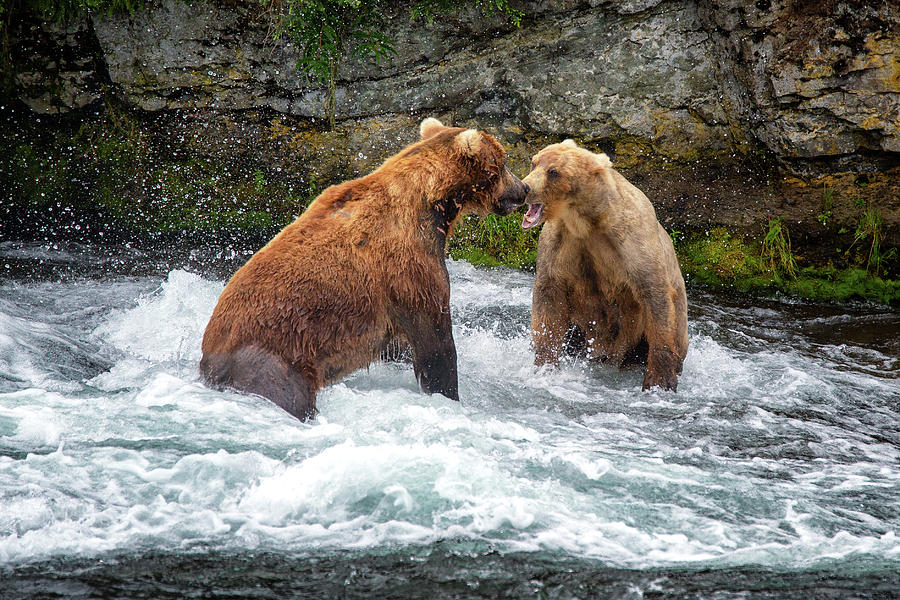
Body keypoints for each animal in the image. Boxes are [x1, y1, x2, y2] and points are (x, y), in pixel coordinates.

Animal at [200, 116, 532, 418]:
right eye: (502, 162)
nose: (524, 188)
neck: (430, 202)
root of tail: (210, 358)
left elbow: (399, 344)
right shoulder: (408, 267)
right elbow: (434, 341)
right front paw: (447, 392)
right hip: (274, 358)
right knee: (289, 393)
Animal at [520, 141, 688, 394]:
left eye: (553, 171)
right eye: (534, 162)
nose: (526, 187)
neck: (587, 221)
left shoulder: (631, 242)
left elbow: (653, 294)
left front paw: (659, 380)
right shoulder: (561, 244)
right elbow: (549, 298)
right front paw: (545, 364)